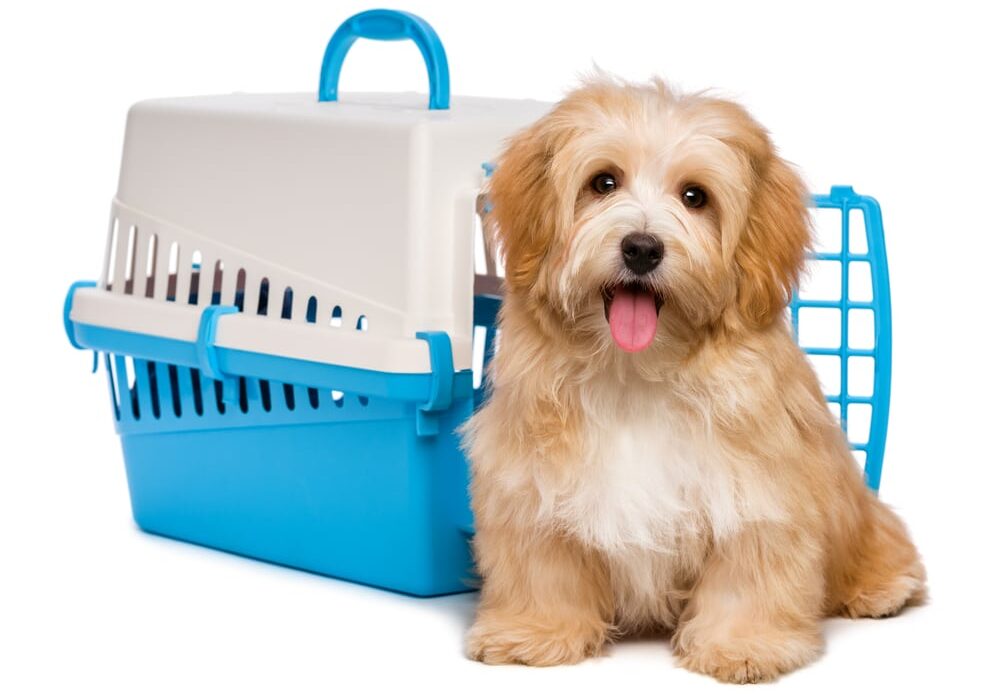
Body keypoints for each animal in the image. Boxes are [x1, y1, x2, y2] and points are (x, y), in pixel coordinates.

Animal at [464, 78, 924, 684]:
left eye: (695, 196)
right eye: (603, 182)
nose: (641, 247)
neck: (634, 373)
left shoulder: (759, 492)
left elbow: (748, 571)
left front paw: (741, 645)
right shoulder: (530, 484)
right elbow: (542, 565)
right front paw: (533, 632)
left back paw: (882, 587)